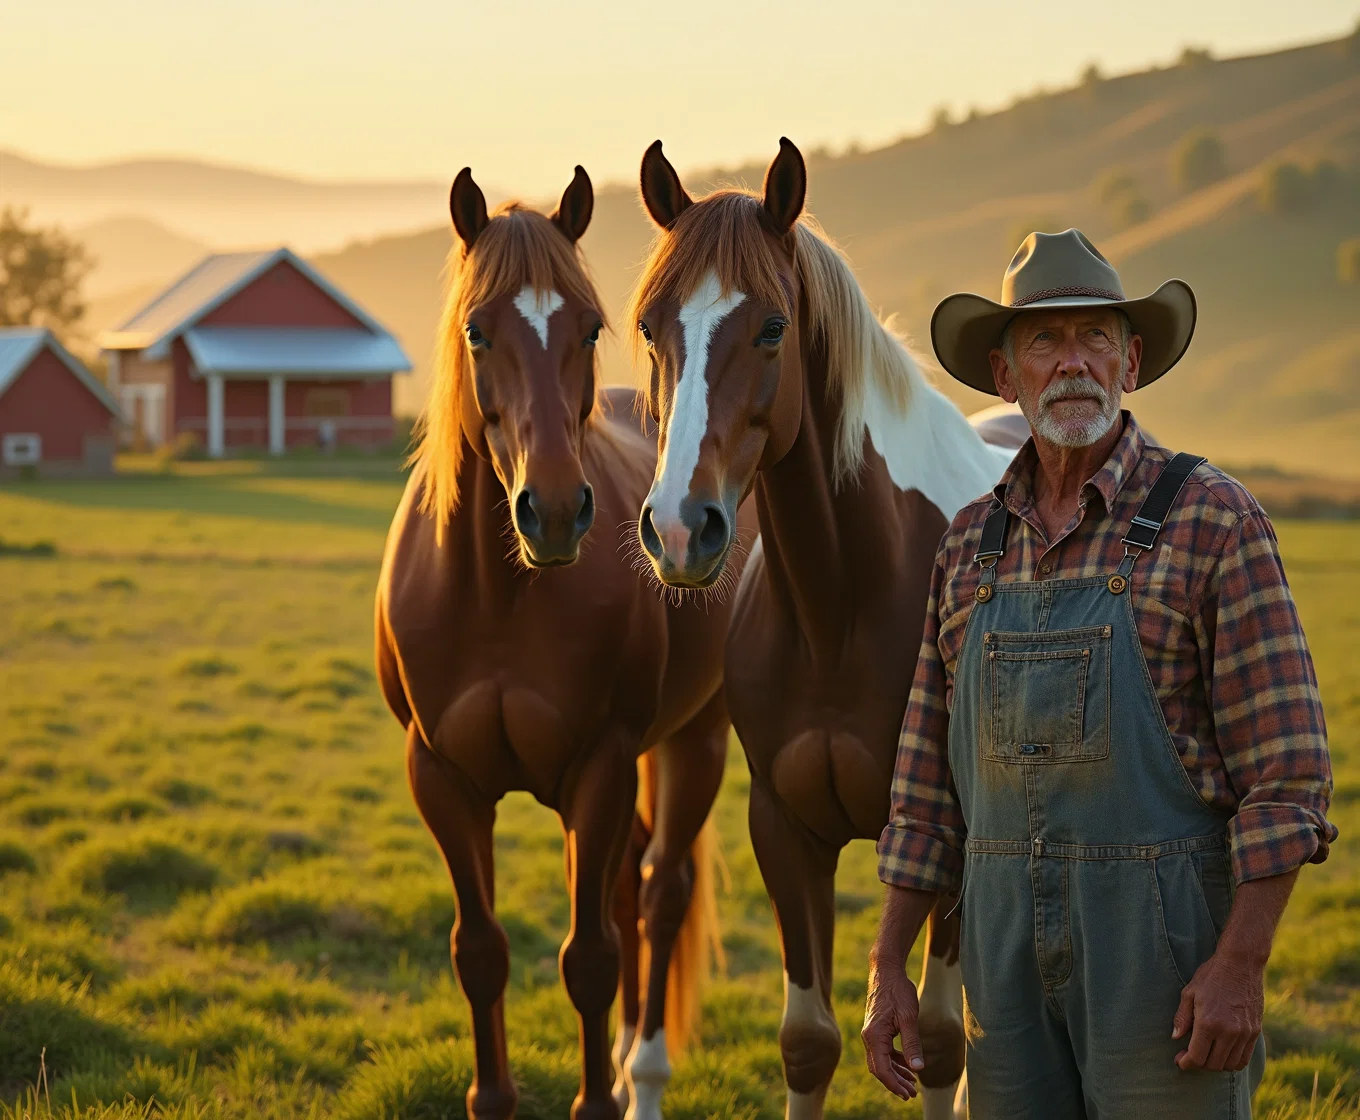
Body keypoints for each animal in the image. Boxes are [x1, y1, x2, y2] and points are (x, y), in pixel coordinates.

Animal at [378, 166, 739, 1120]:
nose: (552, 510)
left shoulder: (600, 767)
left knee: (657, 894)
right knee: (628, 890)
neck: (498, 597)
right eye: (478, 329)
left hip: (694, 739)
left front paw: (598, 1099)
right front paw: (494, 1095)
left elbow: (590, 958)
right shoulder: (442, 777)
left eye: (589, 327)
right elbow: (481, 952)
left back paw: (641, 1072)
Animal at [625, 142, 1011, 1120]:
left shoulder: (950, 840)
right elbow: (809, 1043)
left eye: (771, 328)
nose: (680, 528)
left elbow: (941, 1043)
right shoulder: (785, 827)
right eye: (648, 327)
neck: (844, 605)